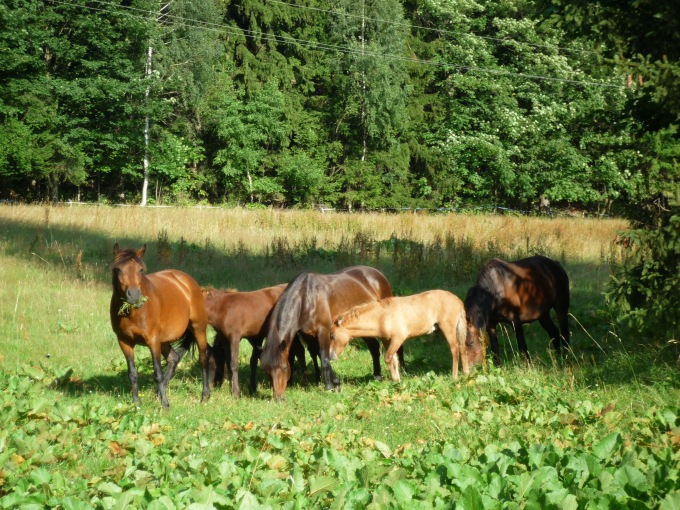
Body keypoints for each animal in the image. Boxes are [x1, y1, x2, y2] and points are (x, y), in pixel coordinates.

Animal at [109, 244, 210, 410]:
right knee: (173, 358)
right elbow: (132, 374)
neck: (133, 313)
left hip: (198, 329)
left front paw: (165, 405)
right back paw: (157, 394)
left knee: (203, 359)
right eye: (118, 269)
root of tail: (186, 280)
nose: (134, 296)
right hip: (164, 340)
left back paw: (205, 396)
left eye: (140, 270)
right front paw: (136, 403)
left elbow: (157, 374)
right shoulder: (124, 342)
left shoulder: (153, 341)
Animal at [258, 264, 402, 400]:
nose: (278, 398)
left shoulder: (324, 331)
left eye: (283, 367)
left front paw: (328, 388)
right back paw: (377, 376)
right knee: (374, 347)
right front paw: (337, 384)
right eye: (266, 370)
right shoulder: (309, 335)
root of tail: (378, 274)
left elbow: (325, 359)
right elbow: (320, 355)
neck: (306, 297)